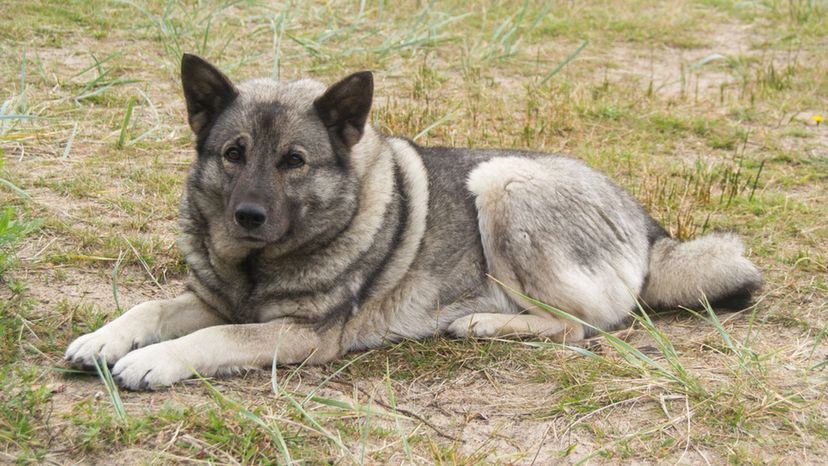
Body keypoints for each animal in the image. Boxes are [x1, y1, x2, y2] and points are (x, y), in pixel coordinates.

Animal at [64, 53, 764, 390]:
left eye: (294, 161)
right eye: (234, 154)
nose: (248, 216)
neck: (256, 268)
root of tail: (649, 226)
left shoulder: (300, 335)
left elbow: (214, 338)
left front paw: (155, 362)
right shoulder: (213, 299)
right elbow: (152, 308)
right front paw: (103, 339)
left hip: (503, 181)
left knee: (582, 326)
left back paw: (484, 323)